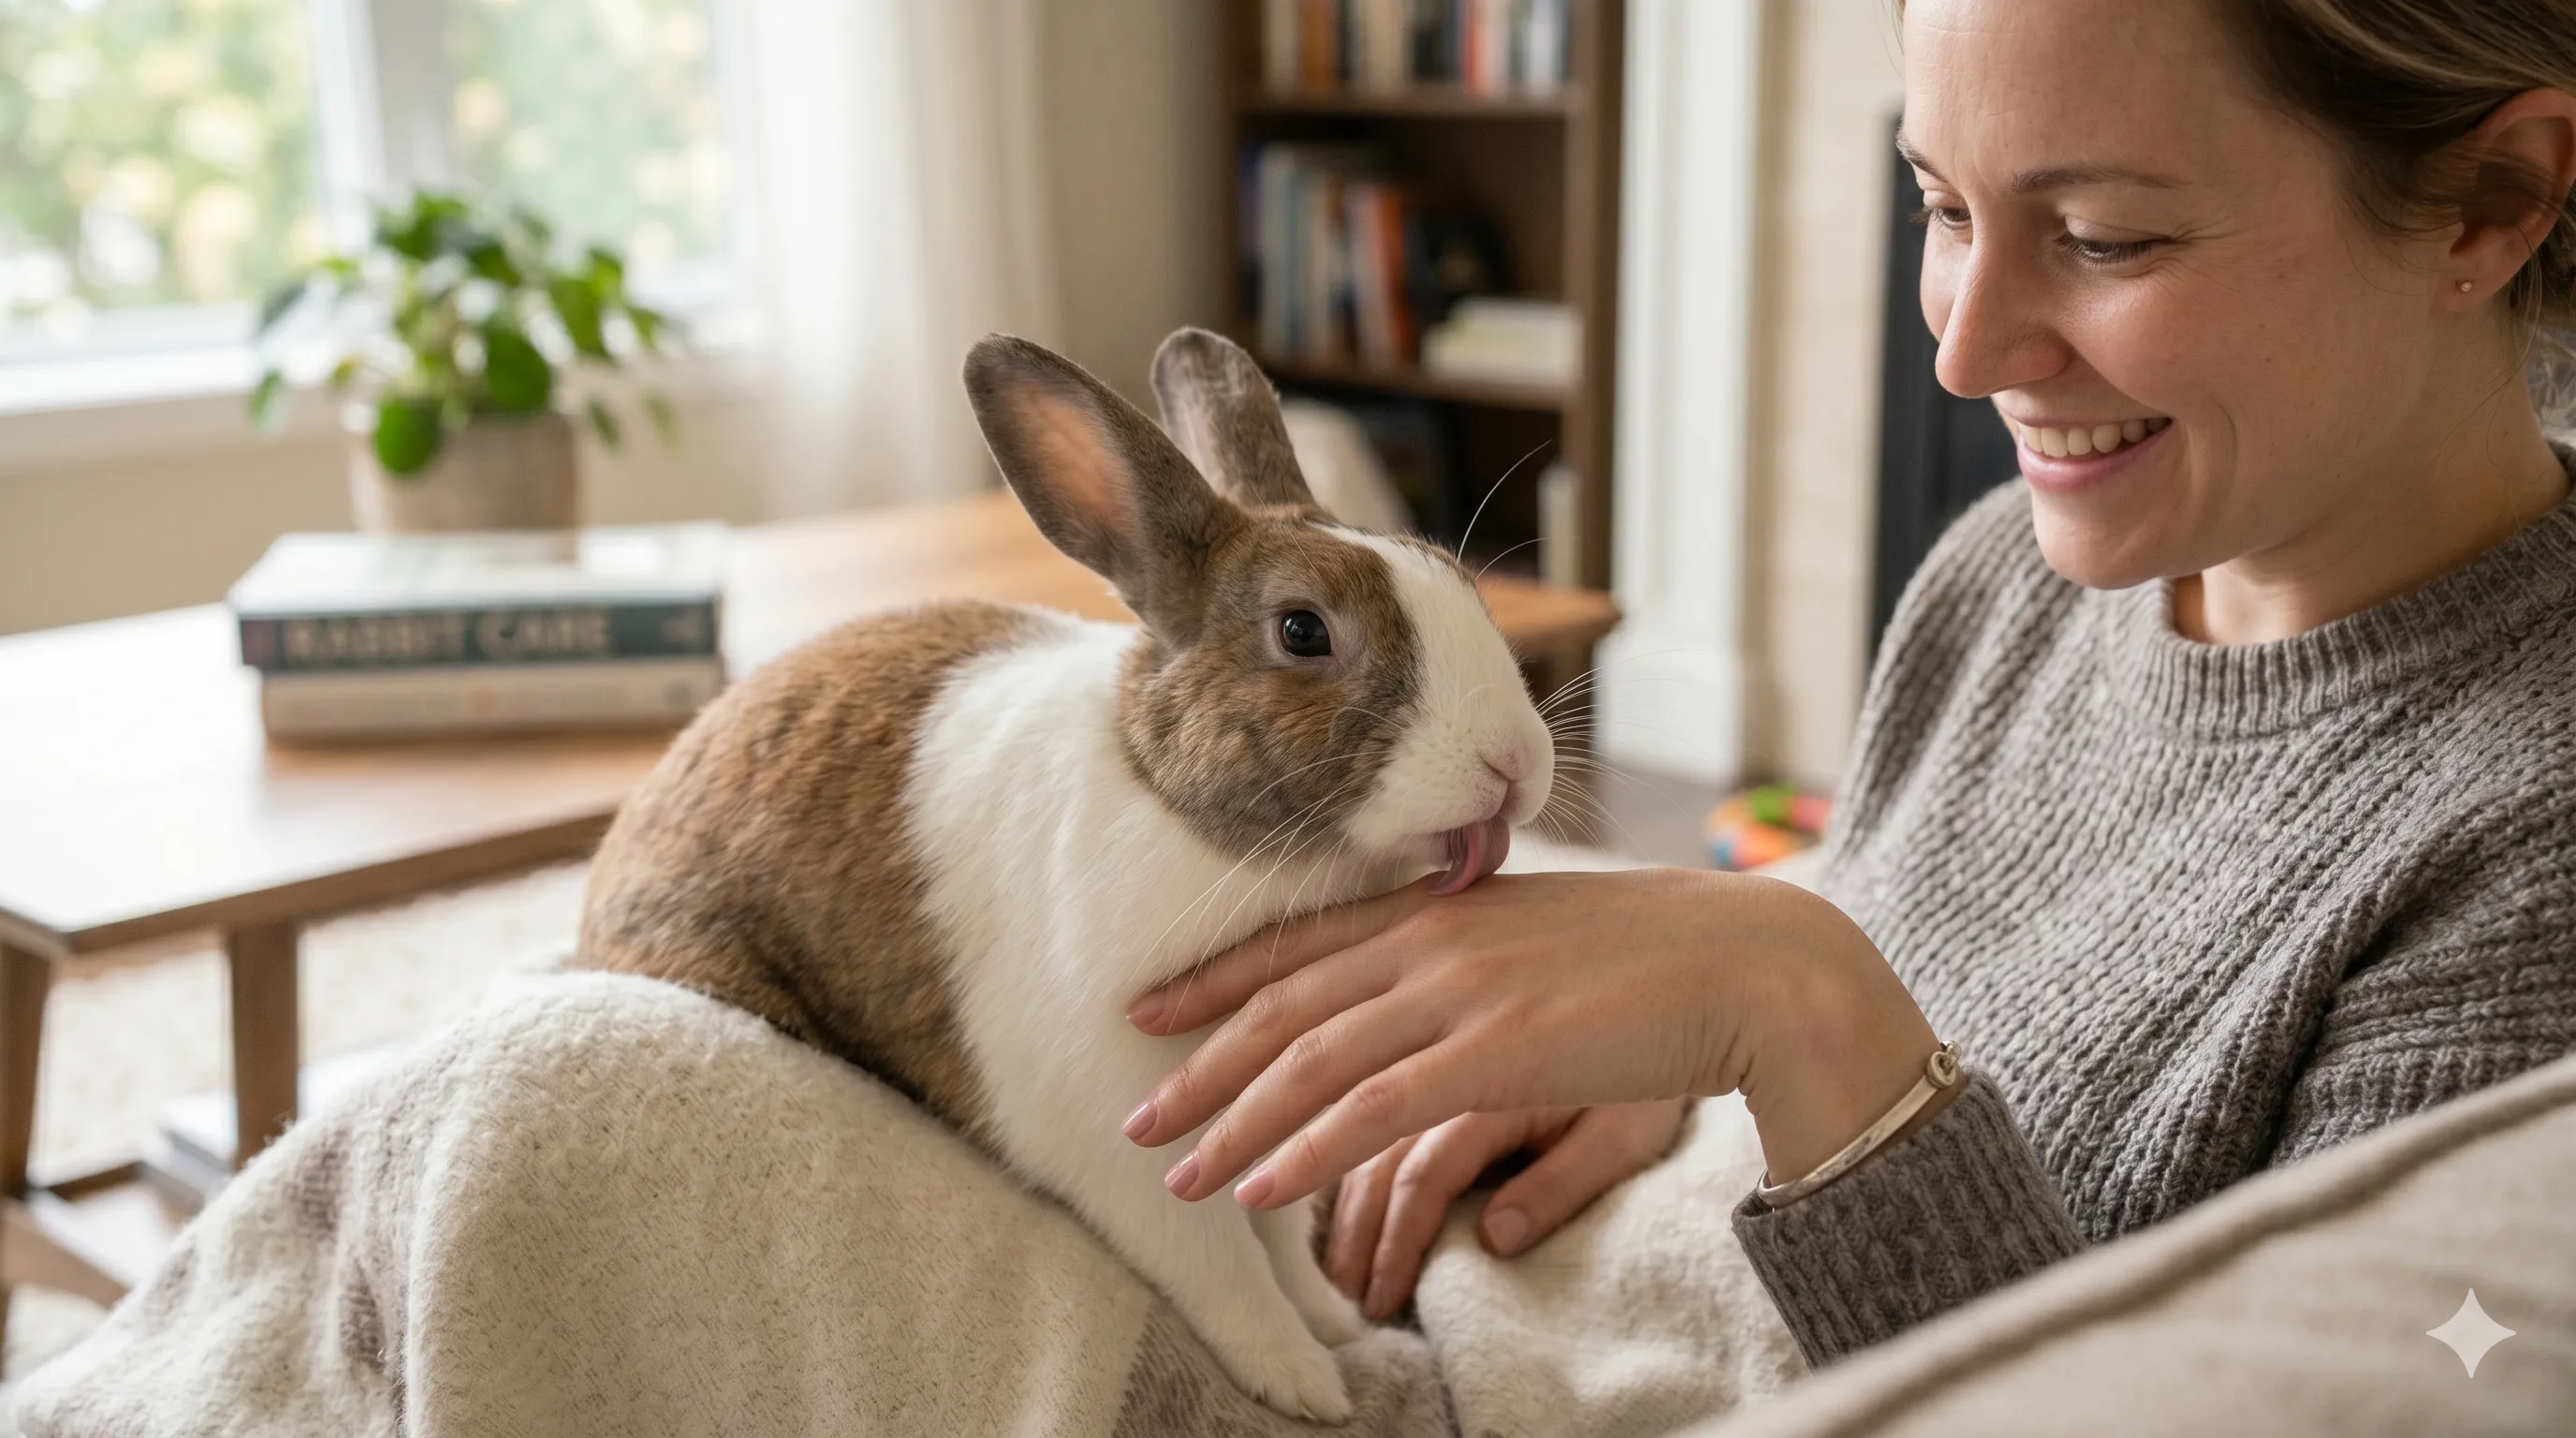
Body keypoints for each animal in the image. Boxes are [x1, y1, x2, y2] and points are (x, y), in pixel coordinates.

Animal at [575, 327, 1555, 1423]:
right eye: (1303, 631)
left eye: (1459, 581)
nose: (1515, 761)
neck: (1207, 829)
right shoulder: (1134, 1145)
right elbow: (1225, 1267)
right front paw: (1305, 1382)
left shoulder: (1268, 1122)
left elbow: (1280, 1235)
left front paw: (1336, 1321)